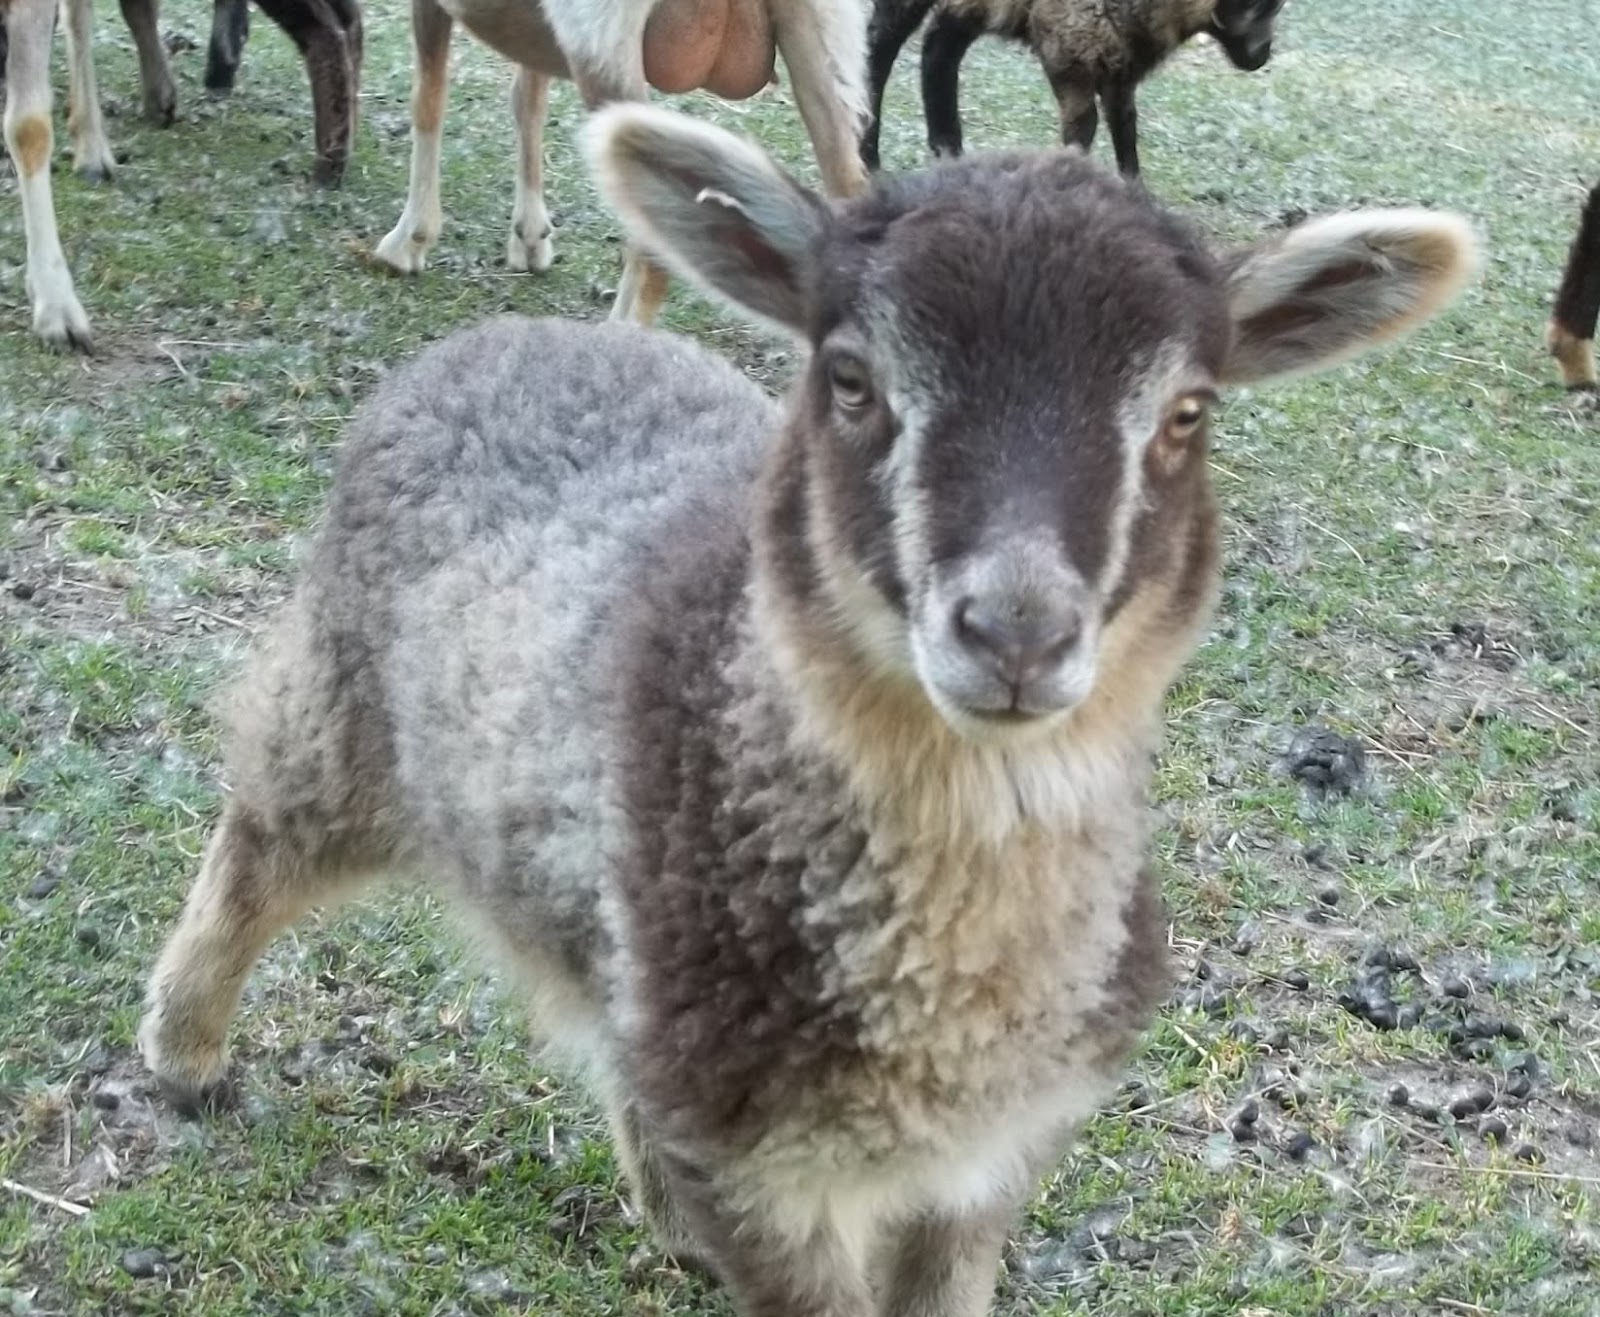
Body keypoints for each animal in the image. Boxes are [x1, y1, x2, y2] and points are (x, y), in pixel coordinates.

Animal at [139, 105, 1474, 1313]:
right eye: (850, 382)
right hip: (341, 703)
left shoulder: (987, 1156)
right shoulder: (762, 1177)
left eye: (1188, 415)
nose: (1016, 634)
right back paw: (185, 1052)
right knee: (258, 839)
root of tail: (503, 337)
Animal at [371, 0, 869, 323]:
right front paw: (530, 238)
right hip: (820, 39)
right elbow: (527, 100)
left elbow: (428, 98)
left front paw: (409, 241)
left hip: (603, 44)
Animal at [861, 0, 1283, 174]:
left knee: (939, 47)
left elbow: (1125, 125)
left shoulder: (1119, 56)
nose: (1262, 57)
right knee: (880, 45)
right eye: (1263, 6)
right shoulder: (1068, 44)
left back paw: (948, 148)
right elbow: (1084, 125)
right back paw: (867, 152)